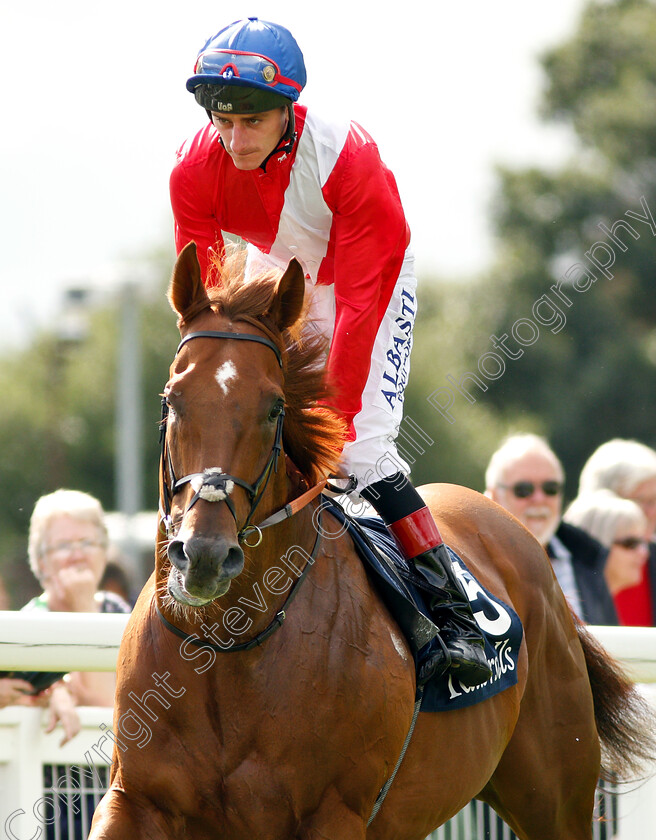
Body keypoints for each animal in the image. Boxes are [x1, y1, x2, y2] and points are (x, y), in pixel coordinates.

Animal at [89, 240, 652, 836]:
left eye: (274, 408)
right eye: (172, 400)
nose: (203, 556)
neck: (228, 646)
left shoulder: (334, 811)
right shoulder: (134, 799)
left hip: (554, 795)